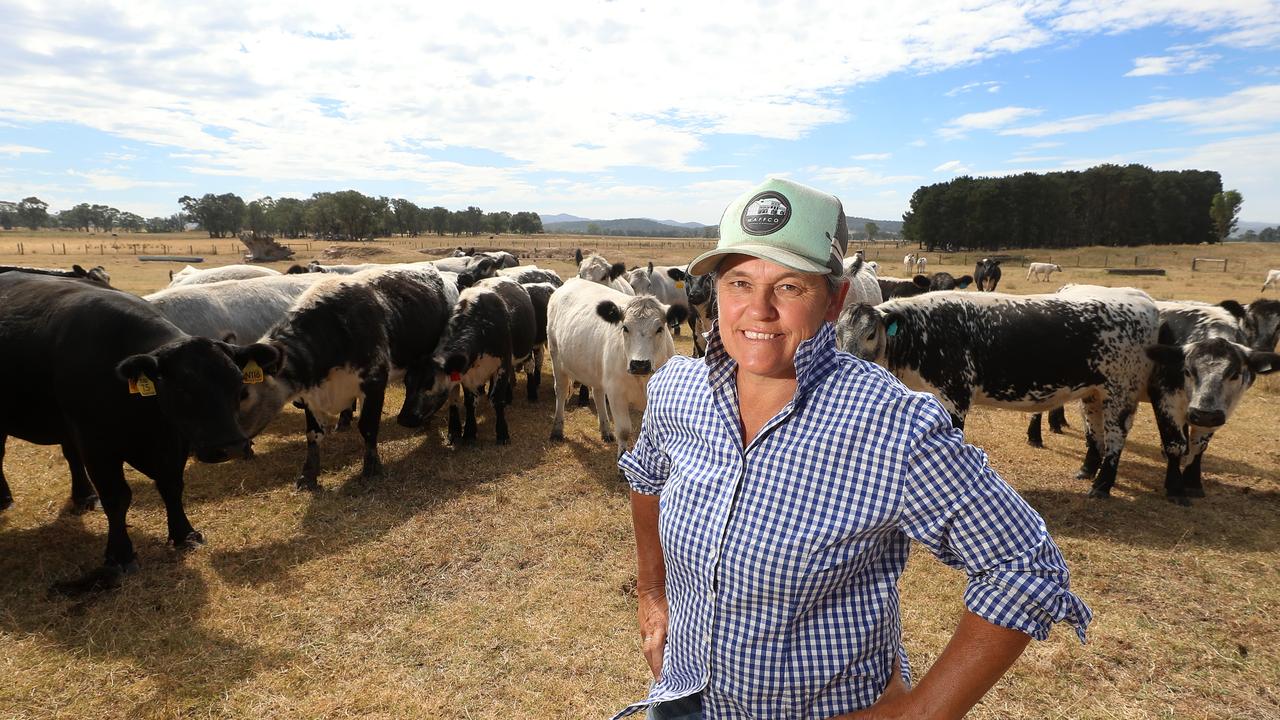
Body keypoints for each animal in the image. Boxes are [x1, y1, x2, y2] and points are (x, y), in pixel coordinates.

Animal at [0, 269, 279, 589]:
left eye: (238, 384)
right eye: (182, 388)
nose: (231, 446)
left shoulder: (172, 441)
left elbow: (172, 485)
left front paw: (184, 534)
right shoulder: (97, 444)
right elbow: (117, 497)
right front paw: (120, 555)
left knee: (70, 456)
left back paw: (83, 496)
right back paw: (4, 499)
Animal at [401, 274, 537, 443]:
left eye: (429, 383)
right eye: (406, 382)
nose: (404, 418)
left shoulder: (503, 363)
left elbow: (497, 400)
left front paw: (502, 433)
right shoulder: (466, 374)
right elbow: (470, 402)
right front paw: (470, 432)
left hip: (526, 350)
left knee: (530, 366)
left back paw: (532, 394)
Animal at [550, 275, 691, 453]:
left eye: (660, 329)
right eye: (625, 328)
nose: (640, 364)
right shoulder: (616, 393)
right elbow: (624, 431)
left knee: (598, 394)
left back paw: (605, 431)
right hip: (556, 357)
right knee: (561, 391)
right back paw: (557, 430)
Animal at [839, 283, 1172, 497]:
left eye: (870, 335)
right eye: (837, 336)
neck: (921, 334)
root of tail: (1143, 300)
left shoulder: (955, 396)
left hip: (1122, 390)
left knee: (1116, 436)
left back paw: (1102, 486)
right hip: (1094, 392)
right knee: (1095, 431)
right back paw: (1087, 469)